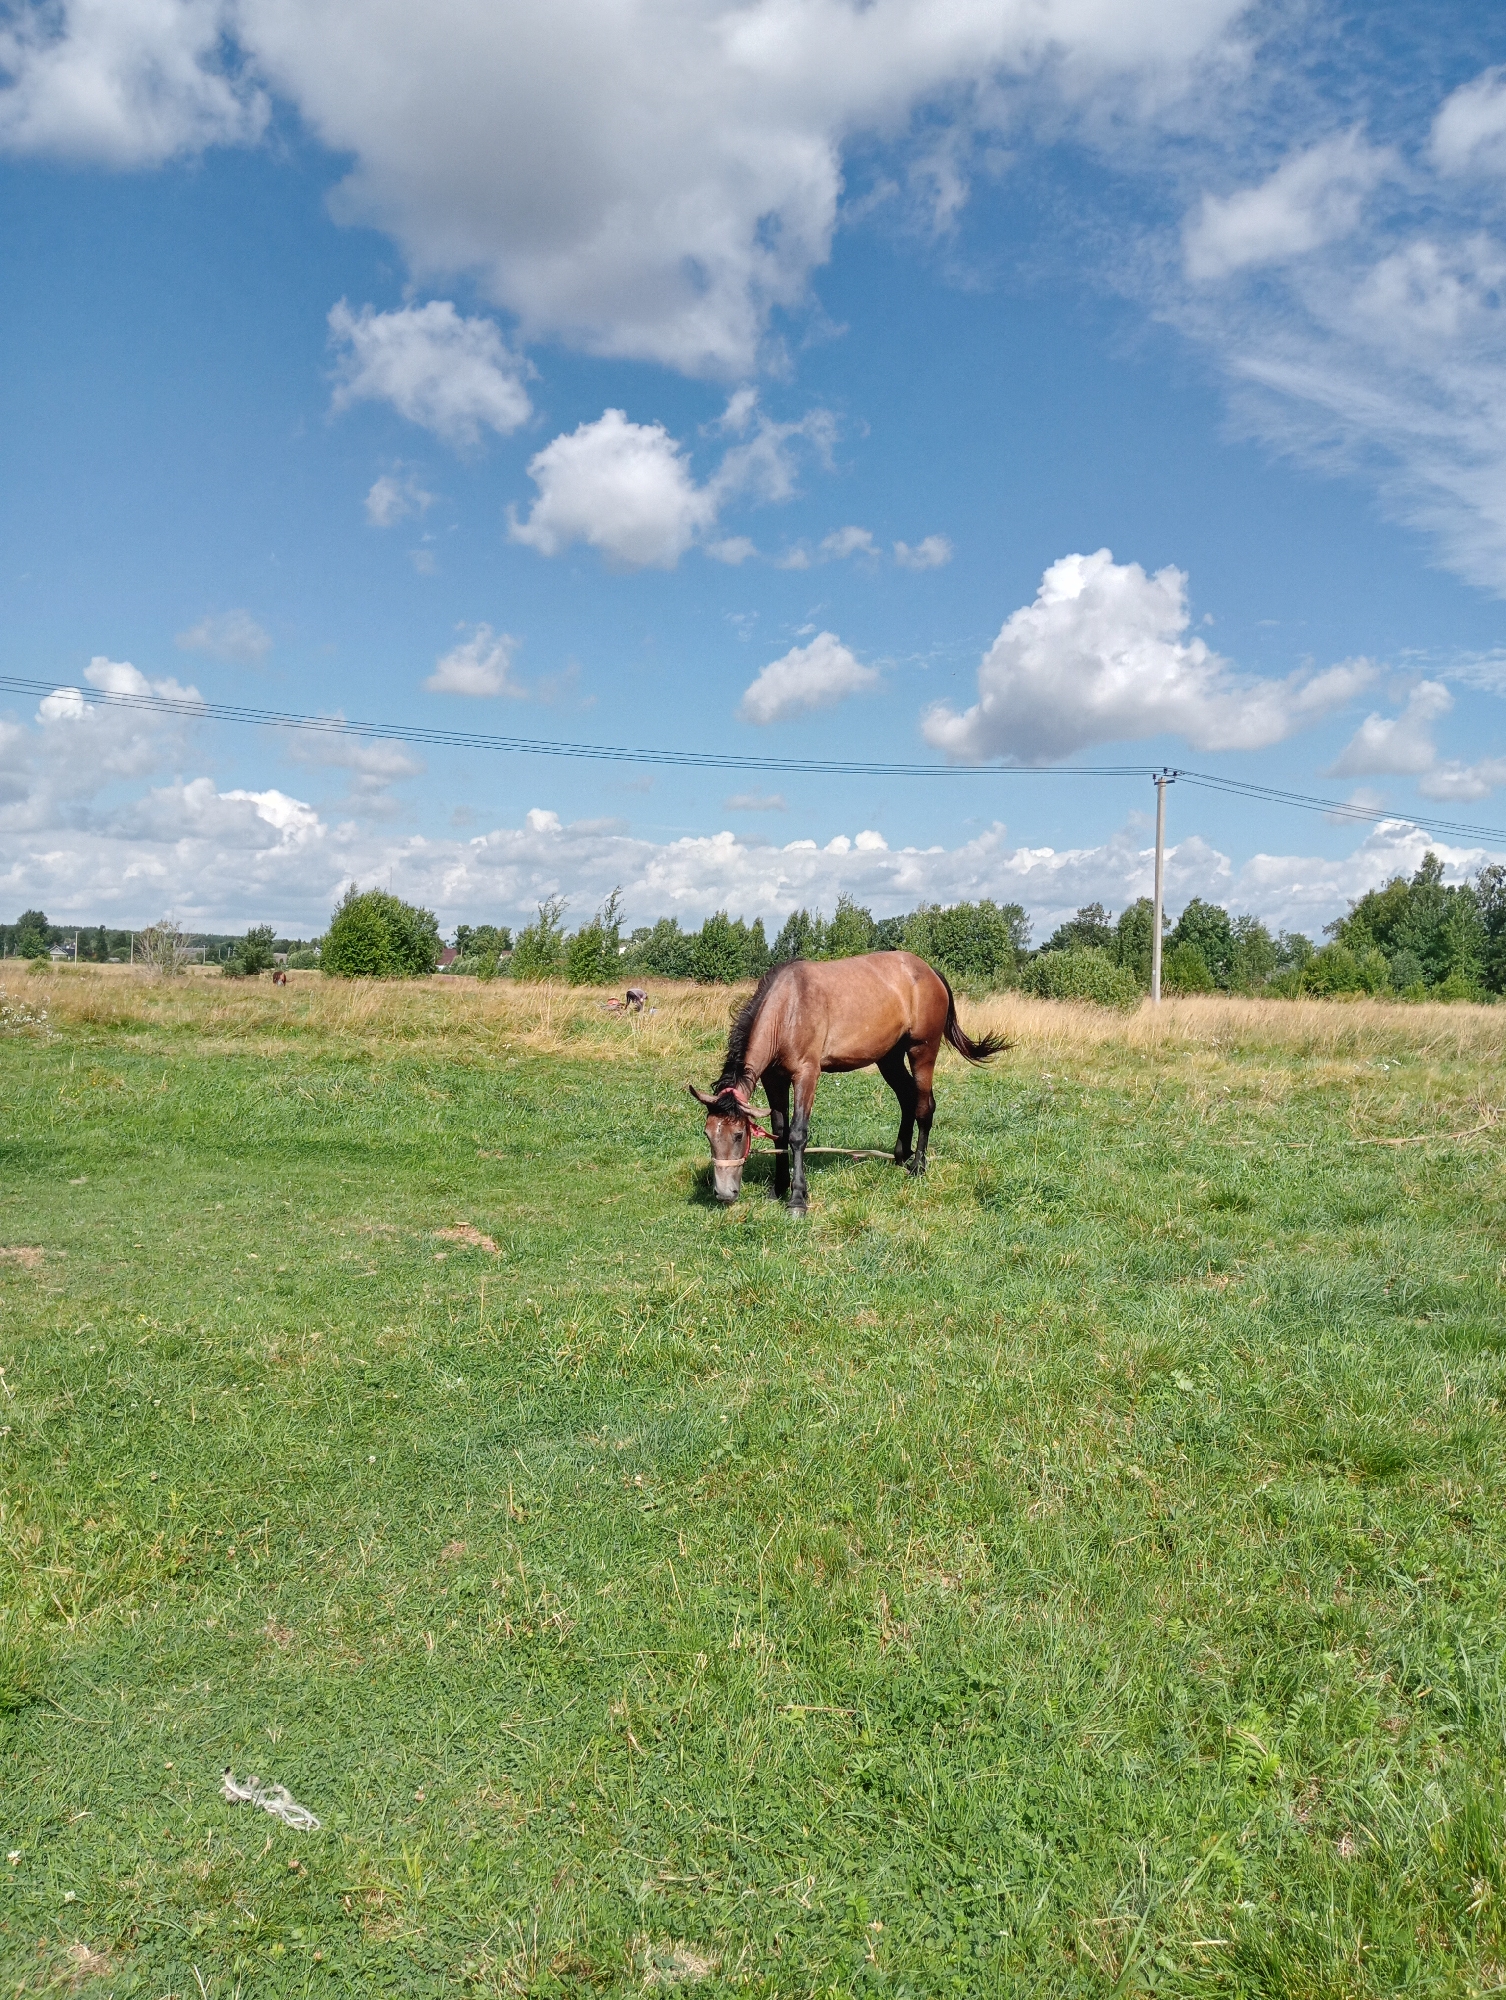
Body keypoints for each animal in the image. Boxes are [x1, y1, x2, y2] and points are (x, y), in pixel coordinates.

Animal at [689, 951, 1006, 1212]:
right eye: (708, 1134)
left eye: (738, 1135)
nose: (724, 1194)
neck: (788, 1009)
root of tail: (929, 971)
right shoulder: (773, 1080)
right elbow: (779, 1132)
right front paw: (777, 1188)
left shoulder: (806, 1074)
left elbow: (797, 1134)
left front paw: (797, 1199)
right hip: (889, 1058)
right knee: (907, 1098)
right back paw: (901, 1156)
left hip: (922, 1051)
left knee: (924, 1106)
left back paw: (918, 1166)